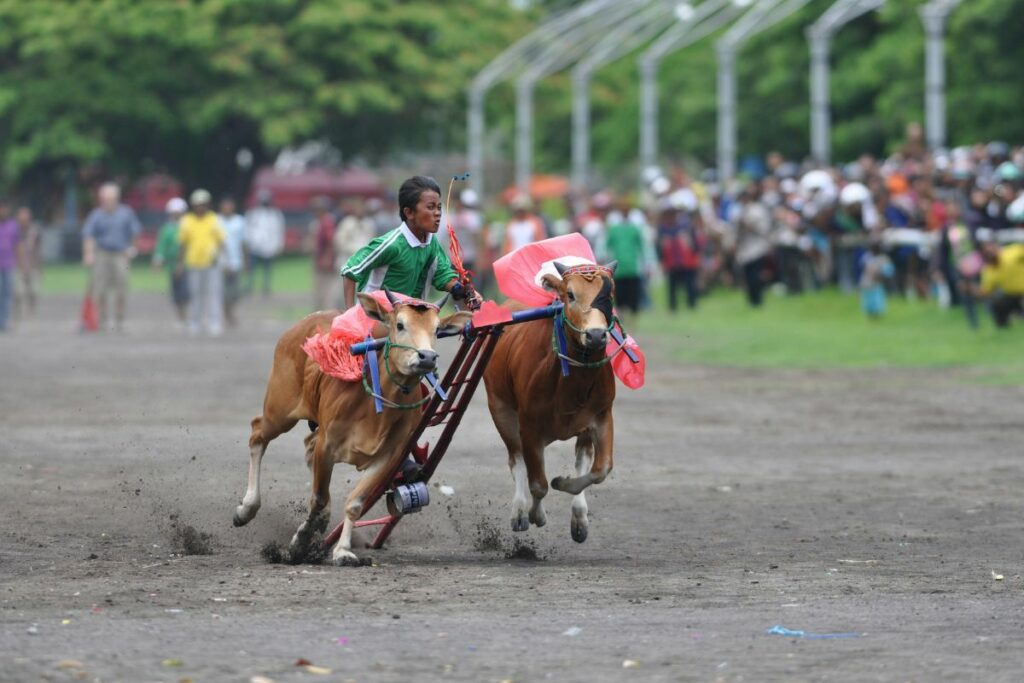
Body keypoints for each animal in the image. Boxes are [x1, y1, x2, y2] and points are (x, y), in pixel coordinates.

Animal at [232, 294, 471, 565]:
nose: (427, 357)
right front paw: (301, 540)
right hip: (279, 410)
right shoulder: (327, 445)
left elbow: (355, 503)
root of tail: (302, 323)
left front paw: (343, 550)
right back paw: (246, 509)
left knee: (306, 445)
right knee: (257, 433)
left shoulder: (389, 457)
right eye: (400, 324)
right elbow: (318, 498)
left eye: (437, 329)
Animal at [485, 264, 618, 544]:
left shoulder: (601, 416)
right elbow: (538, 484)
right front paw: (536, 514)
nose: (596, 335)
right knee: (516, 459)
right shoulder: (530, 426)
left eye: (608, 294)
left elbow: (599, 469)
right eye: (570, 294)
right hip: (500, 409)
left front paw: (565, 489)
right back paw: (519, 511)